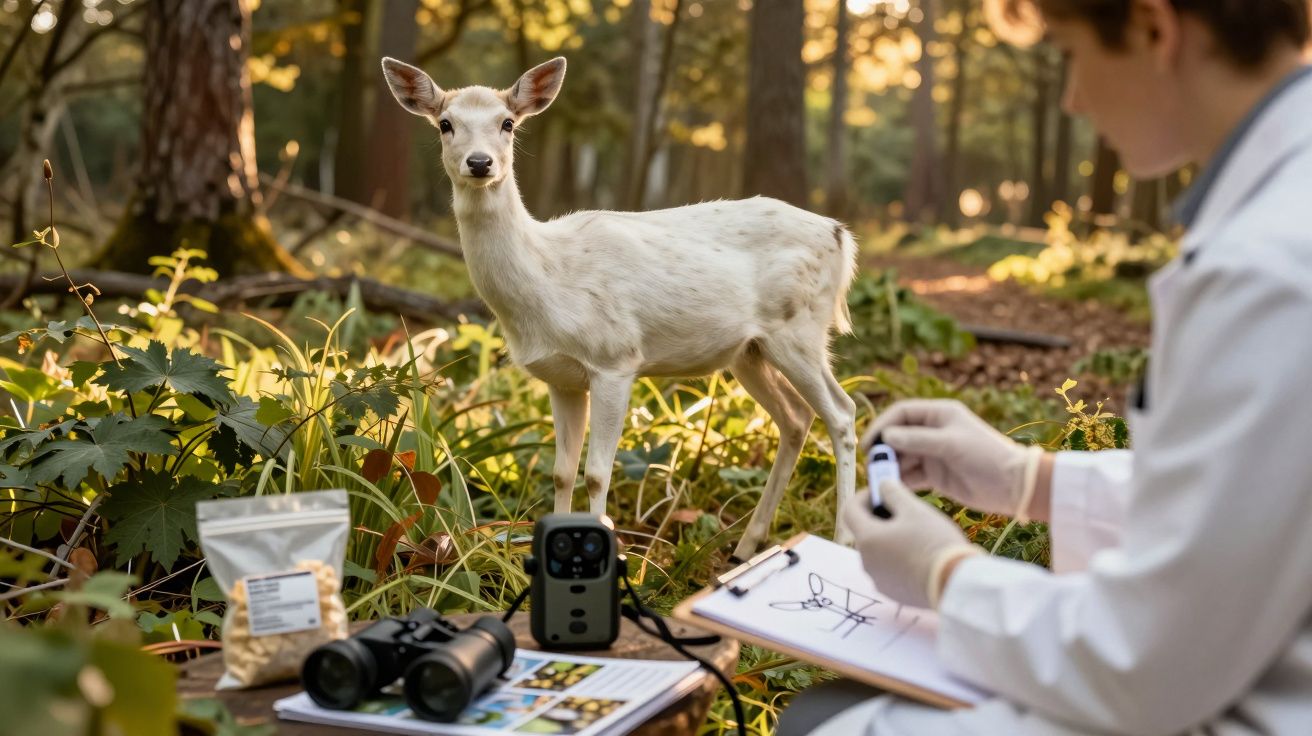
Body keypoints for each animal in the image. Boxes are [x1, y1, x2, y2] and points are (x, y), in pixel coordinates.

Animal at [381, 55, 860, 558]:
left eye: (508, 123)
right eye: (445, 124)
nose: (479, 162)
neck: (547, 281)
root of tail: (841, 235)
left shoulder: (615, 358)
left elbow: (596, 474)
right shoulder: (560, 377)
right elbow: (561, 472)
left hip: (799, 329)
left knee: (842, 413)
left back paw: (842, 539)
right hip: (750, 351)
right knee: (796, 418)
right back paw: (747, 545)